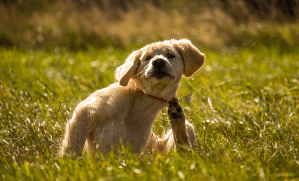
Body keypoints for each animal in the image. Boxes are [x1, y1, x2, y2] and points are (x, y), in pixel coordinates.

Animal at [61, 38, 206, 156]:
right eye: (146, 58)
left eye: (171, 55)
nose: (158, 62)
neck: (140, 101)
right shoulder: (85, 112)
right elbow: (72, 147)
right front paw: (70, 164)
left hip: (186, 130)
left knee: (182, 152)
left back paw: (176, 115)